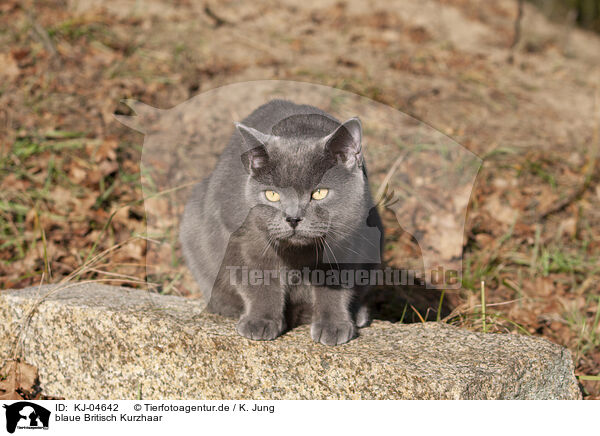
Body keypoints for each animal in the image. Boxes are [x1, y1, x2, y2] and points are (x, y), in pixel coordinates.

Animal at [179, 99, 384, 344]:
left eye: (319, 193)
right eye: (272, 195)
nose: (293, 217)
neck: (298, 254)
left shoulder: (347, 241)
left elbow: (335, 286)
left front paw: (333, 324)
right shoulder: (243, 240)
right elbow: (258, 280)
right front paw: (260, 321)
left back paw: (359, 314)